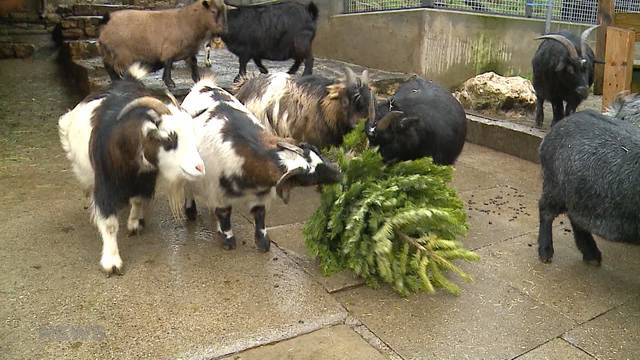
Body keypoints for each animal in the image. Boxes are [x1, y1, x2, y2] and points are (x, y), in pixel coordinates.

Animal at [58, 64, 205, 274]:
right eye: (170, 138)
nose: (199, 167)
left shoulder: (144, 178)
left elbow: (137, 200)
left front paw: (134, 224)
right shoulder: (105, 184)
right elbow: (109, 223)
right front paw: (111, 262)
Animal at [180, 77, 342, 252]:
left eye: (318, 157)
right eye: (310, 176)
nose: (339, 174)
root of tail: (204, 84)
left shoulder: (261, 194)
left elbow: (260, 214)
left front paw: (263, 243)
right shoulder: (219, 191)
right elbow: (224, 214)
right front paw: (228, 241)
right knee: (188, 188)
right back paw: (191, 212)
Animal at [536, 109, 636, 264]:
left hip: (579, 196)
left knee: (576, 218)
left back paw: (592, 255)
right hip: (555, 187)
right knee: (545, 209)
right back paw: (546, 253)